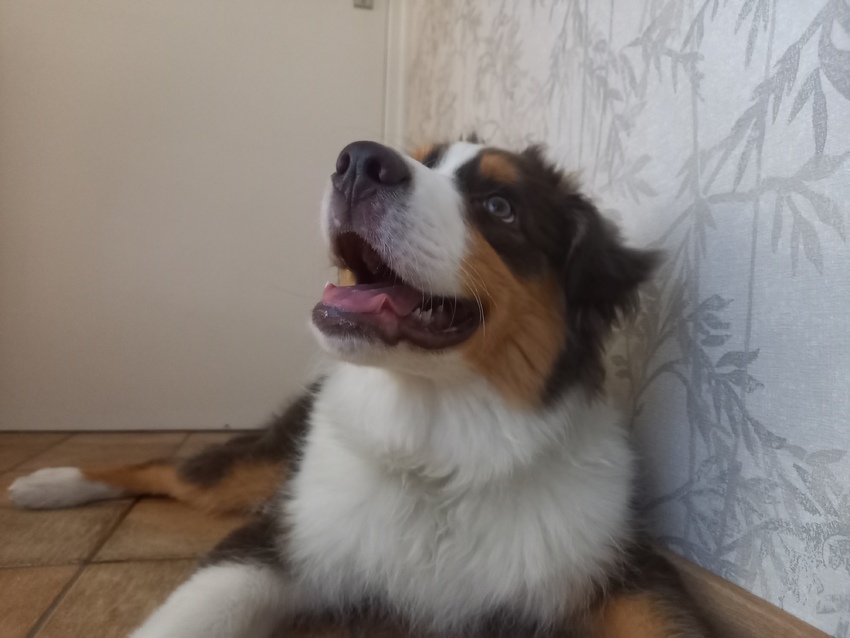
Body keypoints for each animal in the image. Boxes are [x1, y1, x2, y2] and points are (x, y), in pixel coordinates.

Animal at [10, 140, 712, 637]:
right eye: (421, 155)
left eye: (500, 207)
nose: (358, 162)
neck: (435, 449)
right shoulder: (280, 533)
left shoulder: (622, 562)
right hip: (270, 462)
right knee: (167, 467)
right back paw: (49, 483)